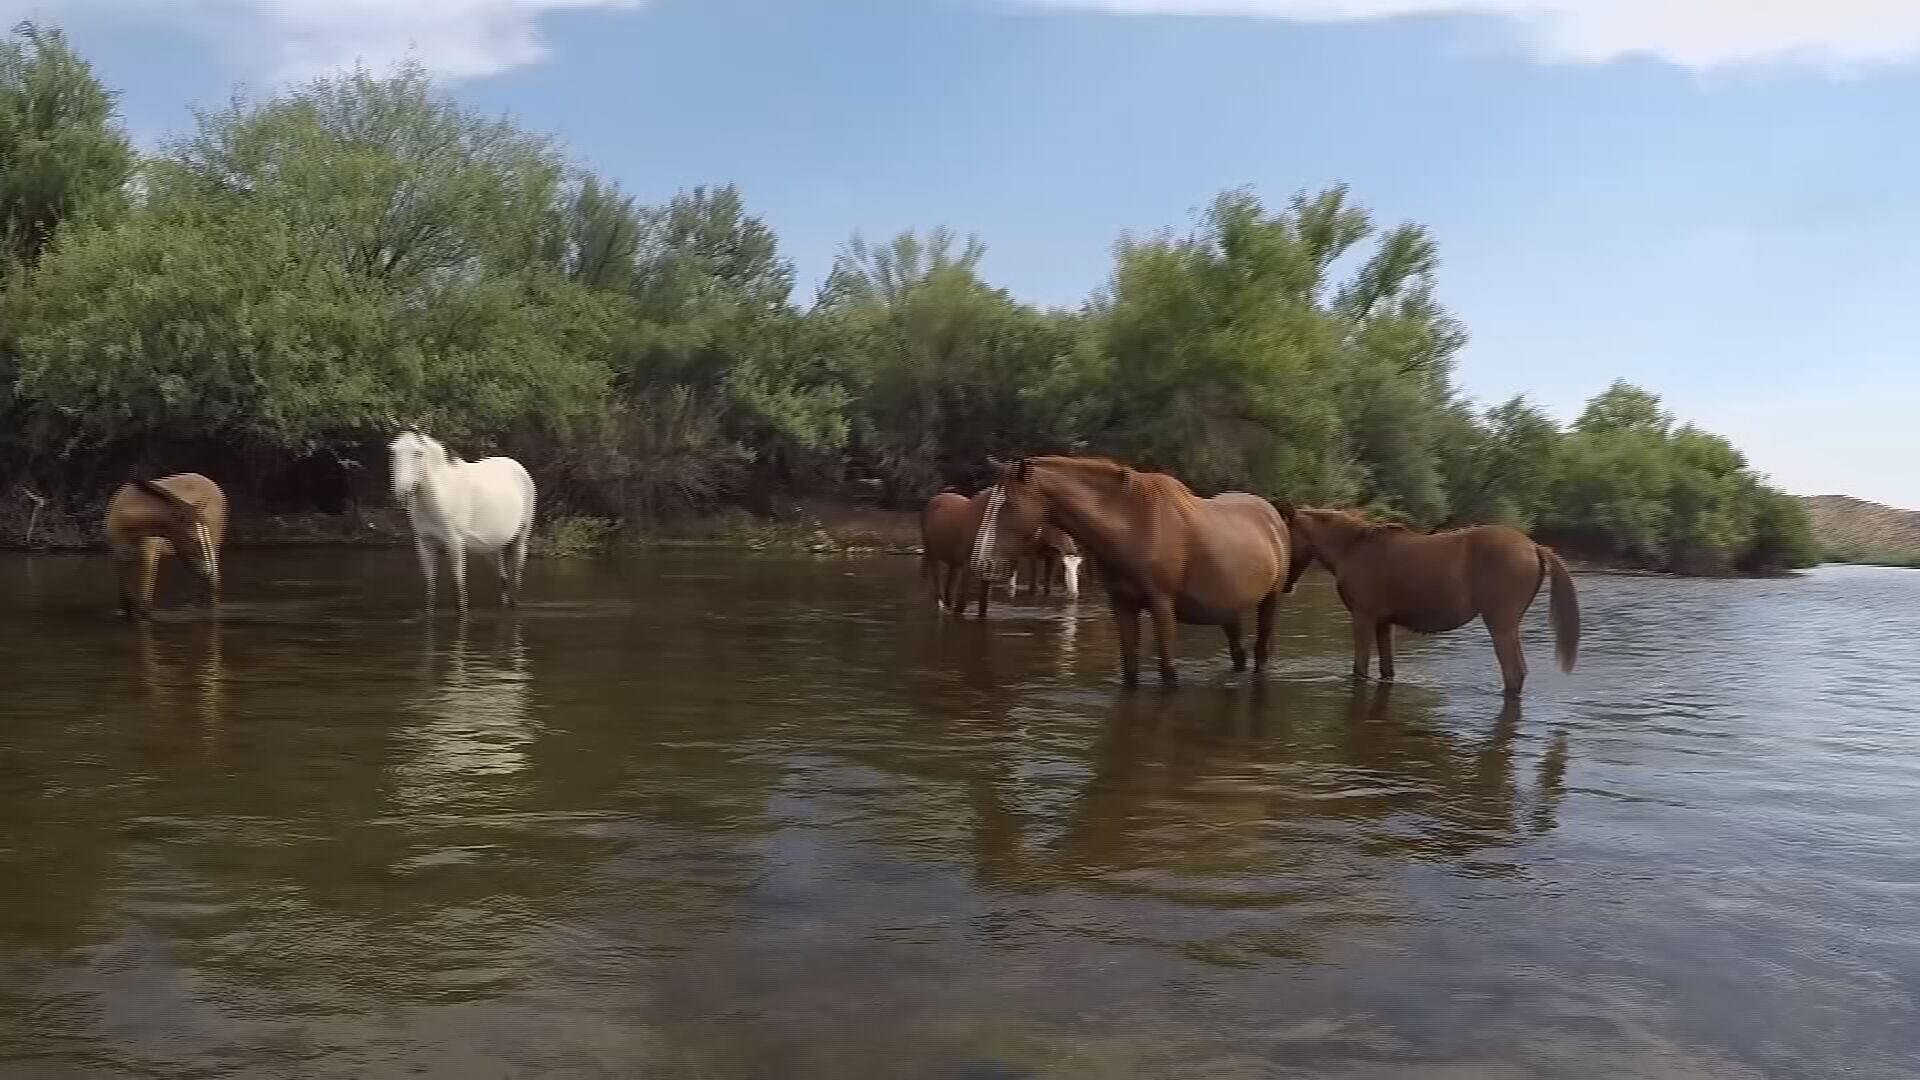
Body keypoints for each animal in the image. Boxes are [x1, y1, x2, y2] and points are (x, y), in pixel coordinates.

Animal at [103, 473, 227, 619]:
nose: (208, 570)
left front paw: (144, 614)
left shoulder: (148, 552)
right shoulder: (118, 554)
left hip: (212, 544)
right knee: (204, 580)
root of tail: (210, 482)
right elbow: (125, 593)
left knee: (214, 581)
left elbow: (144, 592)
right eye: (193, 539)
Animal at [389, 428, 537, 613]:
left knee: (515, 578)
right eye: (393, 451)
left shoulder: (455, 543)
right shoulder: (424, 544)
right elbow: (430, 587)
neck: (440, 495)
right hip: (493, 547)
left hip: (520, 539)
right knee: (504, 578)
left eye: (418, 453)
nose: (402, 493)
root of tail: (518, 467)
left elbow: (459, 586)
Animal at [972, 455, 1292, 686]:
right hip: (1228, 609)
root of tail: (1271, 514)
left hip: (1271, 600)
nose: (982, 563)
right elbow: (1129, 670)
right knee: (1238, 653)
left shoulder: (1162, 606)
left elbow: (1167, 672)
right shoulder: (1122, 605)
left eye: (1010, 505)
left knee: (1261, 652)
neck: (1133, 524)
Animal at [1276, 506, 1580, 696]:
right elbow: (1387, 670)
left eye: (1284, 534)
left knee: (1514, 673)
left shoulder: (1362, 618)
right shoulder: (1383, 623)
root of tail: (1533, 546)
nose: (1285, 582)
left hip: (1501, 625)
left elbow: (1359, 669)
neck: (1353, 548)